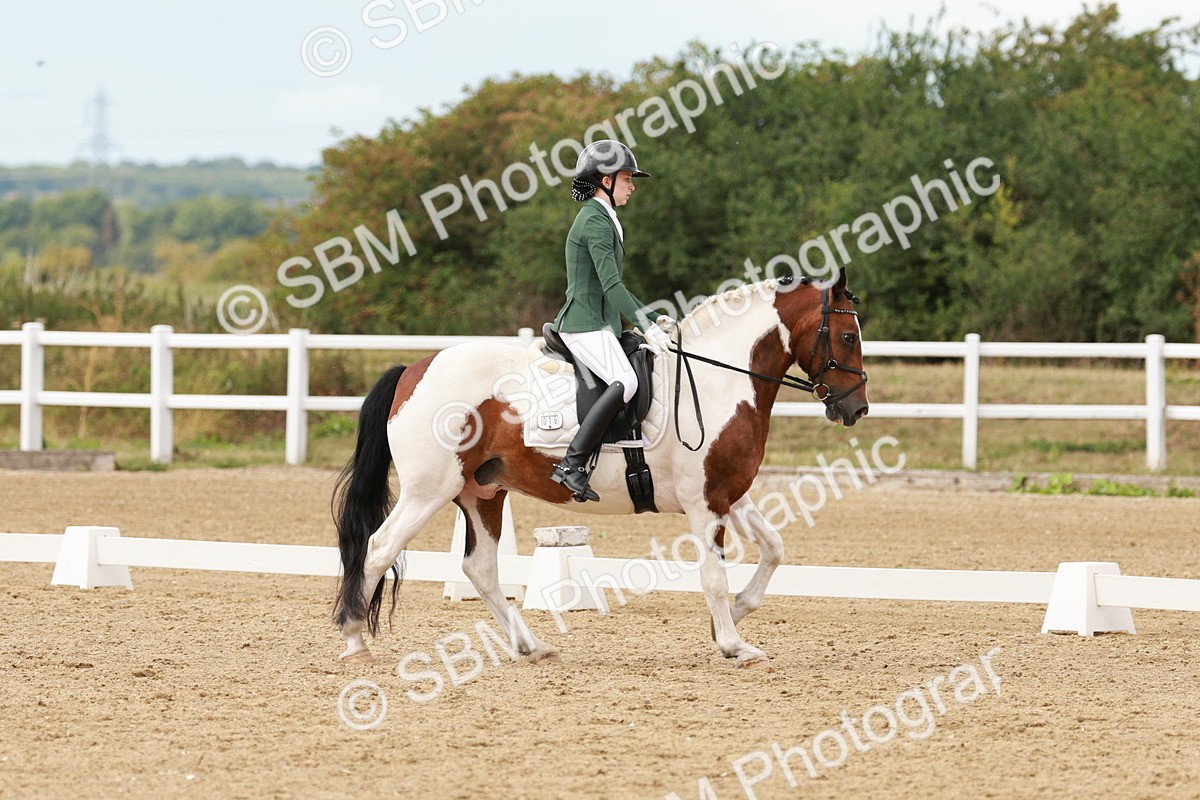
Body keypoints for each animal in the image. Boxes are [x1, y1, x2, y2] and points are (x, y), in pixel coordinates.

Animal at [332, 268, 869, 669]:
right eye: (847, 335)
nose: (856, 408)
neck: (719, 379)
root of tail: (414, 369)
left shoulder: (727, 493)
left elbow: (774, 549)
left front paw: (734, 616)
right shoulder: (704, 502)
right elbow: (713, 575)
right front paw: (733, 644)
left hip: (482, 492)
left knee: (480, 568)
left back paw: (531, 646)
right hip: (428, 491)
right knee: (379, 548)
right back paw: (355, 640)